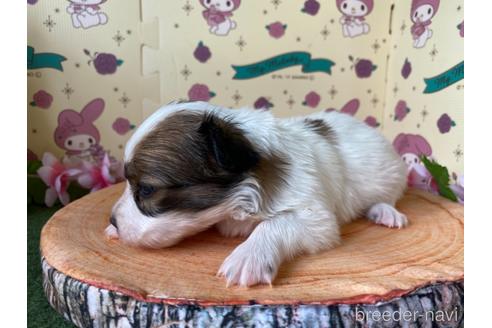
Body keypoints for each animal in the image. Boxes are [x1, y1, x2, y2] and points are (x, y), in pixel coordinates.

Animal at [106, 102, 408, 288]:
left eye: (147, 189)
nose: (112, 221)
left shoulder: (315, 216)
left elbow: (276, 222)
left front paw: (248, 256)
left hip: (391, 173)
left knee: (388, 196)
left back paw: (387, 212)